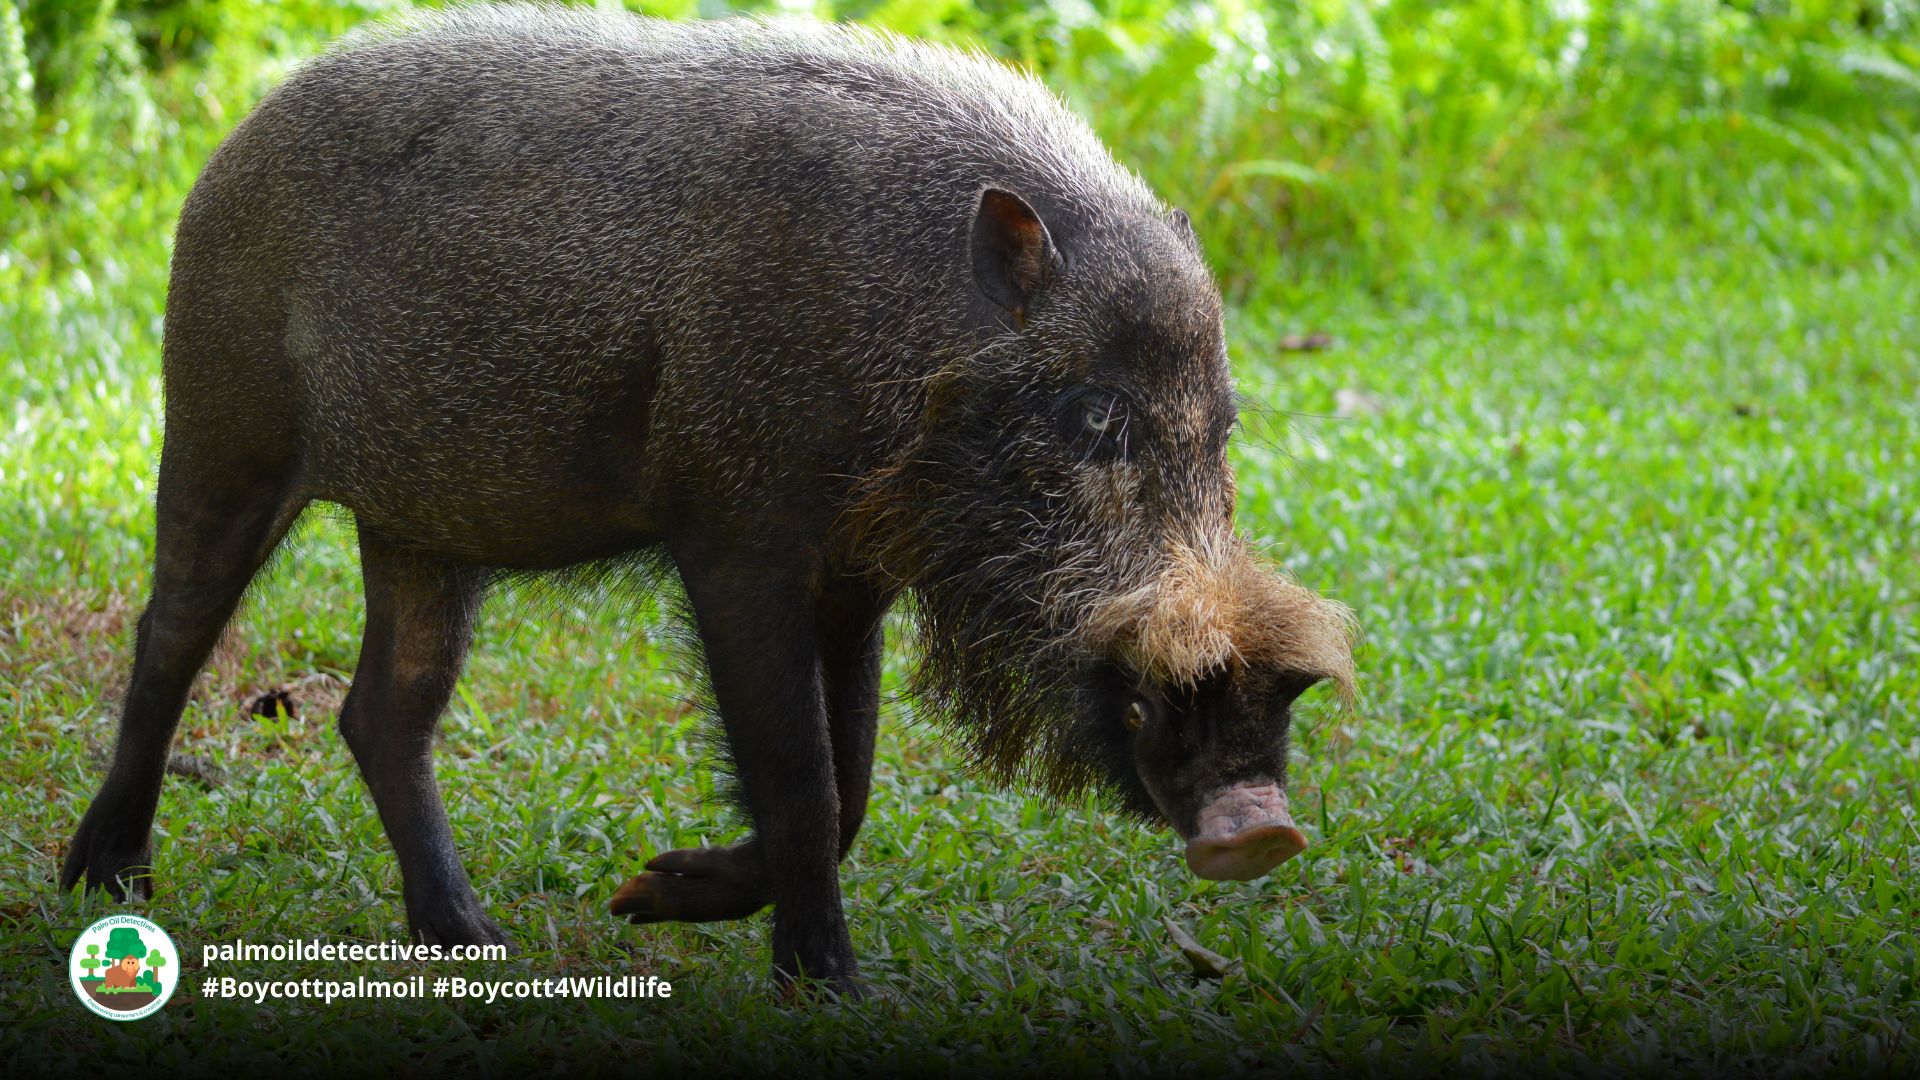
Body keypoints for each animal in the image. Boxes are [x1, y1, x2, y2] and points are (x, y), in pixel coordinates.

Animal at [60, 5, 1356, 994]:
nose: (1263, 822)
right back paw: (105, 879)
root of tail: (227, 152)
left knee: (386, 712)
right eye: (1094, 418)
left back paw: (470, 941)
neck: (913, 336)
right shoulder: (735, 537)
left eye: (1225, 426)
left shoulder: (853, 575)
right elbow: (804, 783)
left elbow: (852, 784)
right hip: (223, 432)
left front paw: (648, 892)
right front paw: (825, 986)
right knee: (170, 636)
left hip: (420, 528)